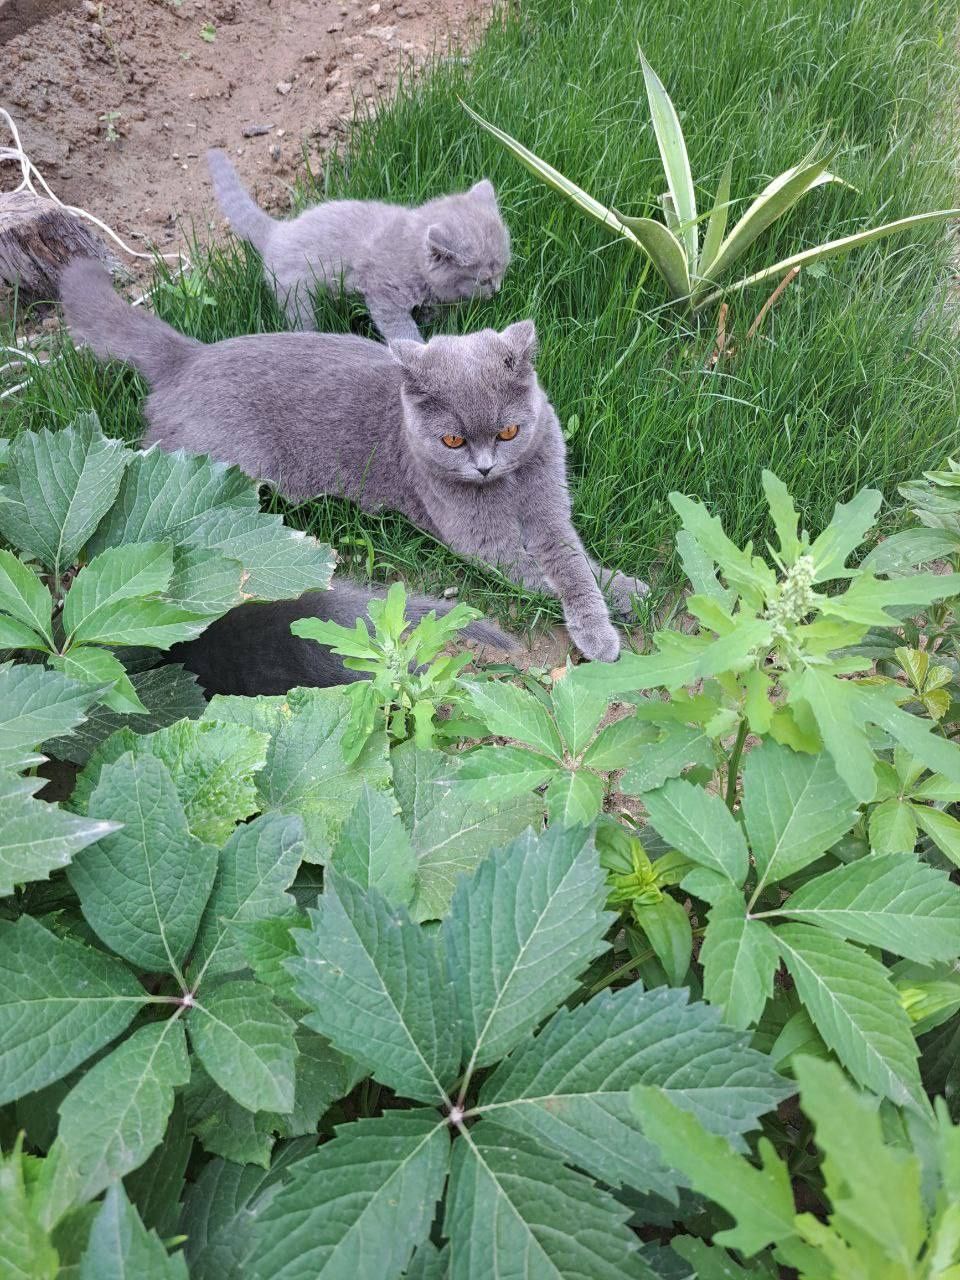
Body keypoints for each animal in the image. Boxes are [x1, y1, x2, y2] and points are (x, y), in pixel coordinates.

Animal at [58, 258, 647, 660]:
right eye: (452, 442)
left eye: (508, 432)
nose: (483, 466)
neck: (508, 488)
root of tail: (189, 356)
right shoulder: (483, 544)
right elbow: (539, 574)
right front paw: (610, 621)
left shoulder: (550, 507)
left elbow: (573, 564)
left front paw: (622, 592)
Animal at [207, 148, 514, 345]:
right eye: (484, 280)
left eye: (502, 271)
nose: (497, 290)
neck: (410, 249)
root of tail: (278, 231)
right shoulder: (383, 296)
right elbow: (400, 329)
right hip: (294, 294)